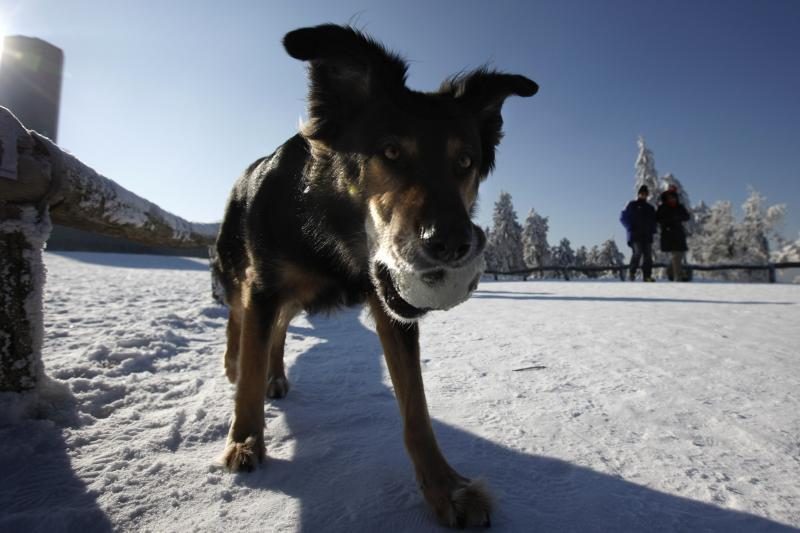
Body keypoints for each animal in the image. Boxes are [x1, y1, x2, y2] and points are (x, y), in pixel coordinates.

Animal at [212, 23, 536, 524]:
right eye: (390, 151)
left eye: (465, 161)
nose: (453, 244)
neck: (328, 227)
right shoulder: (264, 285)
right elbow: (248, 367)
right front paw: (244, 442)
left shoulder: (391, 307)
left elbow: (415, 409)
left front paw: (445, 488)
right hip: (238, 268)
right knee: (238, 316)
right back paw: (239, 362)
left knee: (280, 328)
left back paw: (276, 375)